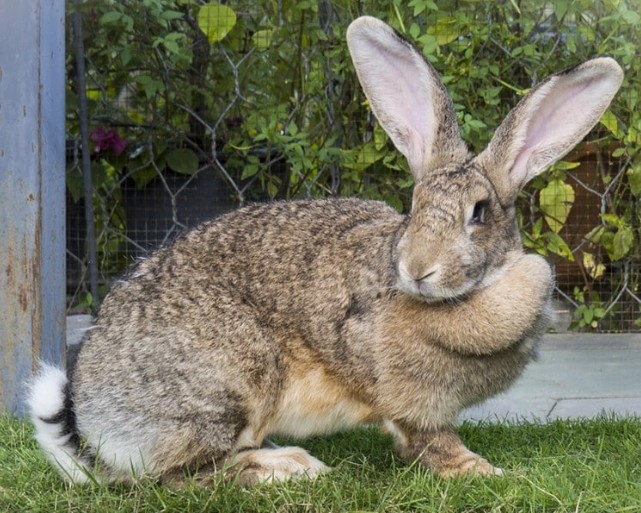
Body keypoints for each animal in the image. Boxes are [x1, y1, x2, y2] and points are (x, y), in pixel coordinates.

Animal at [29, 16, 623, 485]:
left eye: (479, 213)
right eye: (413, 205)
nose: (417, 270)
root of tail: (93, 422)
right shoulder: (410, 399)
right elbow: (430, 440)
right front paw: (483, 471)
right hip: (228, 383)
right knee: (178, 478)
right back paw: (287, 467)